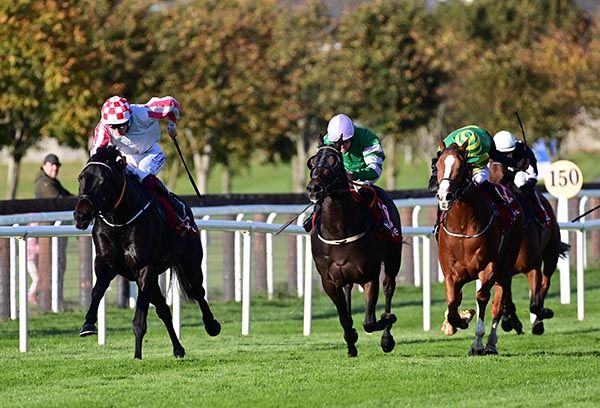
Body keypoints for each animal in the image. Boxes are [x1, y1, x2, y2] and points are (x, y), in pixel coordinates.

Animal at [73, 145, 220, 358]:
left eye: (102, 180)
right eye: (81, 178)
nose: (81, 215)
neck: (120, 220)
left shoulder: (145, 268)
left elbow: (139, 319)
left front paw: (137, 356)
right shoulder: (106, 263)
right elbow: (97, 290)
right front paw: (88, 324)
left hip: (190, 262)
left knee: (198, 292)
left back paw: (212, 326)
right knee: (164, 310)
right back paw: (178, 349)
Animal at [308, 144, 400, 356]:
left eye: (334, 161)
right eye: (313, 161)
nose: (314, 187)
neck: (338, 231)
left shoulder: (369, 275)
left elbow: (369, 322)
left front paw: (387, 321)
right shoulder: (329, 282)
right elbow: (345, 318)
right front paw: (351, 342)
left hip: (393, 259)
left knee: (388, 288)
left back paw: (386, 337)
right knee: (349, 291)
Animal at [434, 142, 524, 356]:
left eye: (461, 166)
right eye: (438, 165)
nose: (444, 196)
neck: (463, 226)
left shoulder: (489, 267)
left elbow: (482, 298)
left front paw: (477, 342)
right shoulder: (450, 274)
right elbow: (452, 303)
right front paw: (459, 319)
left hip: (506, 266)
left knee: (497, 304)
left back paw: (490, 343)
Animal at [490, 158, 568, 334]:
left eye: (505, 178)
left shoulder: (533, 267)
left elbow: (534, 304)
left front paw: (544, 314)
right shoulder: (502, 271)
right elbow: (506, 301)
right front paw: (510, 321)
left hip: (551, 253)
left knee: (545, 284)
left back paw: (539, 320)